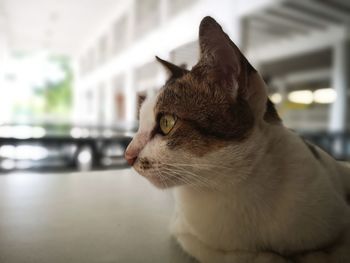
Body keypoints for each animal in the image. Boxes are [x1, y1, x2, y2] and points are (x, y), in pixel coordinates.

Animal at [123, 17, 350, 263]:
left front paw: (314, 255)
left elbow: (335, 250)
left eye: (167, 122)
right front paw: (270, 257)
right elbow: (230, 254)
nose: (128, 155)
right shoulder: (184, 230)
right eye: (140, 123)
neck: (232, 187)